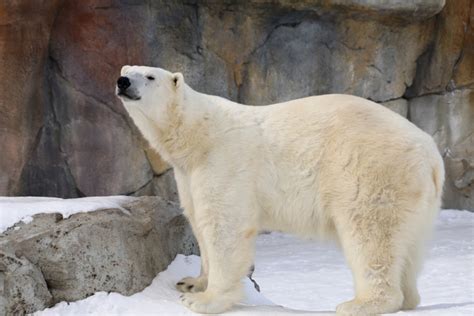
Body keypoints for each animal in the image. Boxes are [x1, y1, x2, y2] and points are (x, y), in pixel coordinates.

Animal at [115, 65, 444, 314]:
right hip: (417, 196)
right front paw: (192, 282)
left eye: (150, 76)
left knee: (370, 232)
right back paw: (408, 297)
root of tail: (431, 154)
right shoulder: (189, 173)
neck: (198, 133)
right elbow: (197, 218)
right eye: (126, 70)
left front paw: (202, 300)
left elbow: (223, 225)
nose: (123, 82)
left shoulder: (225, 160)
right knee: (408, 243)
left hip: (373, 170)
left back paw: (361, 304)